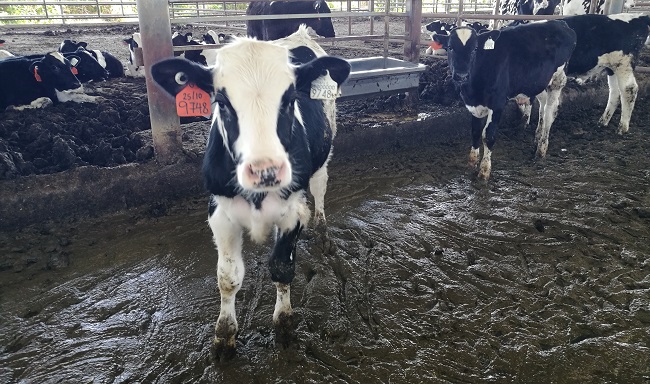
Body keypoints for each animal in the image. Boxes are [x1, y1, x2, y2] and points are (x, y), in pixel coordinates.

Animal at [150, 33, 350, 360]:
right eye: (221, 103)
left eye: (290, 100)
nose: (265, 171)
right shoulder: (220, 214)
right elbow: (227, 277)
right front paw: (224, 338)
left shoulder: (293, 212)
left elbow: (282, 267)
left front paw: (284, 327)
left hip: (326, 146)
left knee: (320, 187)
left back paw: (322, 231)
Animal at [432, 21, 576, 181]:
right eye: (450, 47)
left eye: (475, 48)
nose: (461, 75)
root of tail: (559, 22)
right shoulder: (474, 105)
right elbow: (475, 132)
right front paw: (472, 163)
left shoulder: (498, 103)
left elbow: (488, 136)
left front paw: (484, 171)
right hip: (540, 82)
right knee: (542, 107)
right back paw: (537, 138)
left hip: (557, 80)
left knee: (549, 113)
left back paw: (541, 149)